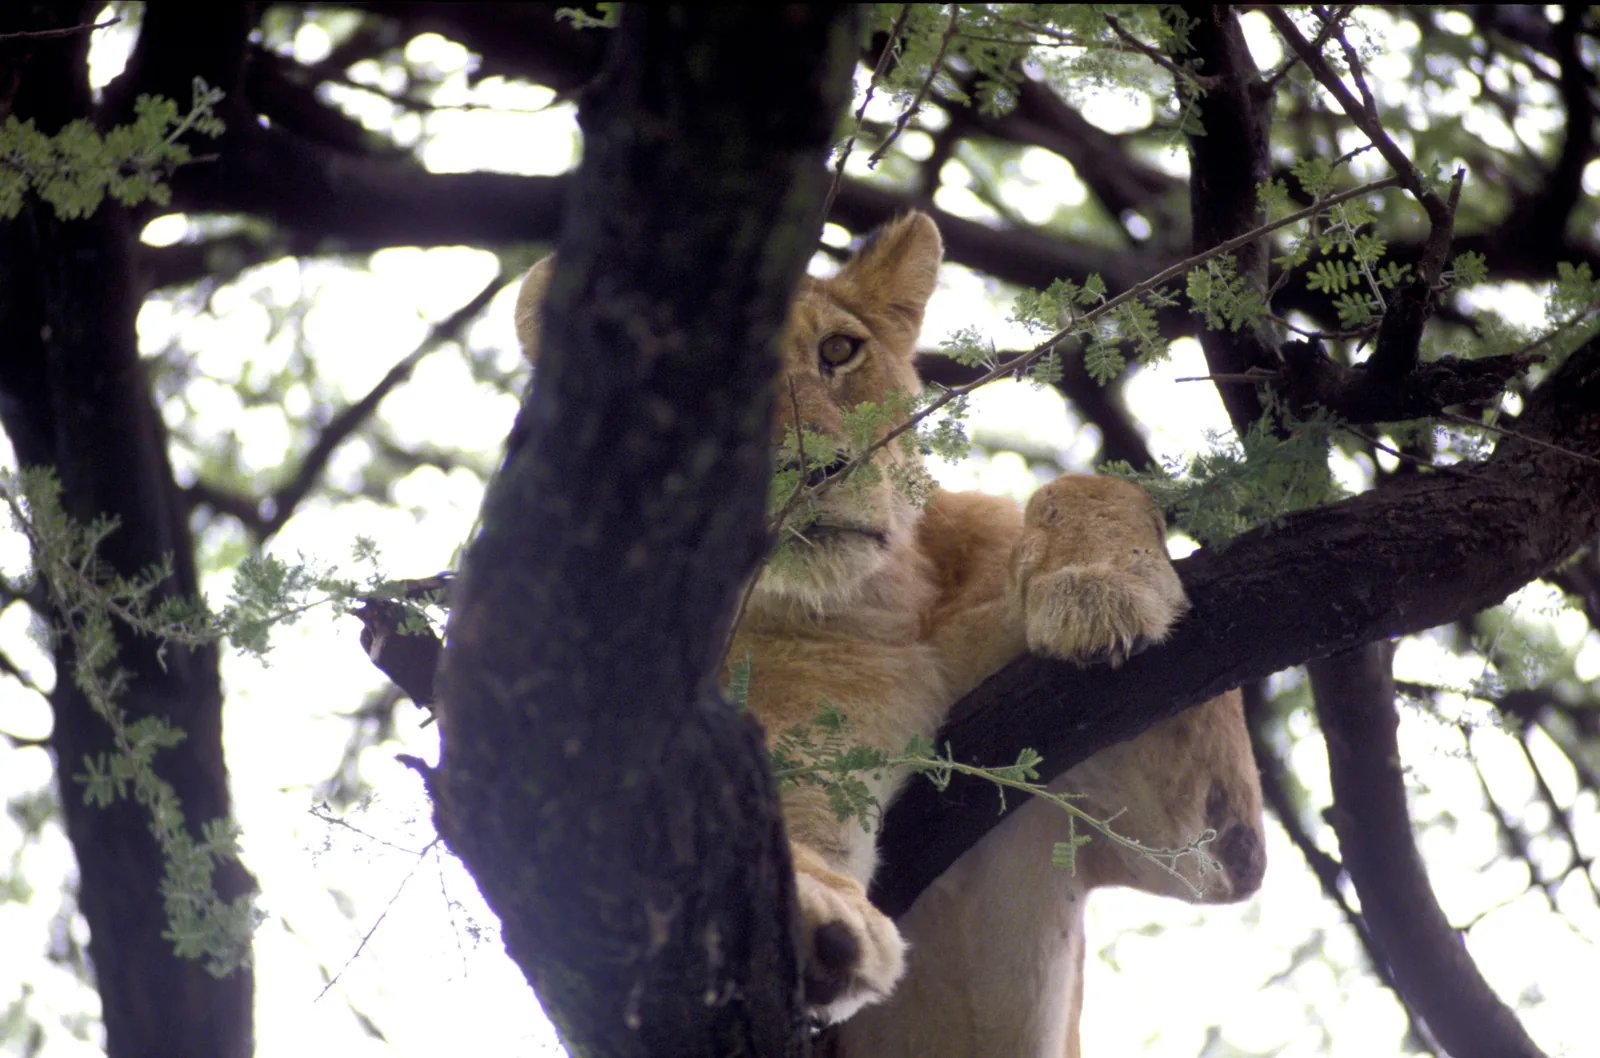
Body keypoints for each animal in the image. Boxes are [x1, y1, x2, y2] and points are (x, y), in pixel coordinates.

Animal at [515, 212, 1265, 1049]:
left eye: (839, 351)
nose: (810, 467)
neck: (891, 602)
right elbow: (795, 829)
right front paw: (818, 918)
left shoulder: (1203, 831)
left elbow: (1089, 486)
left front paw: (1098, 587)